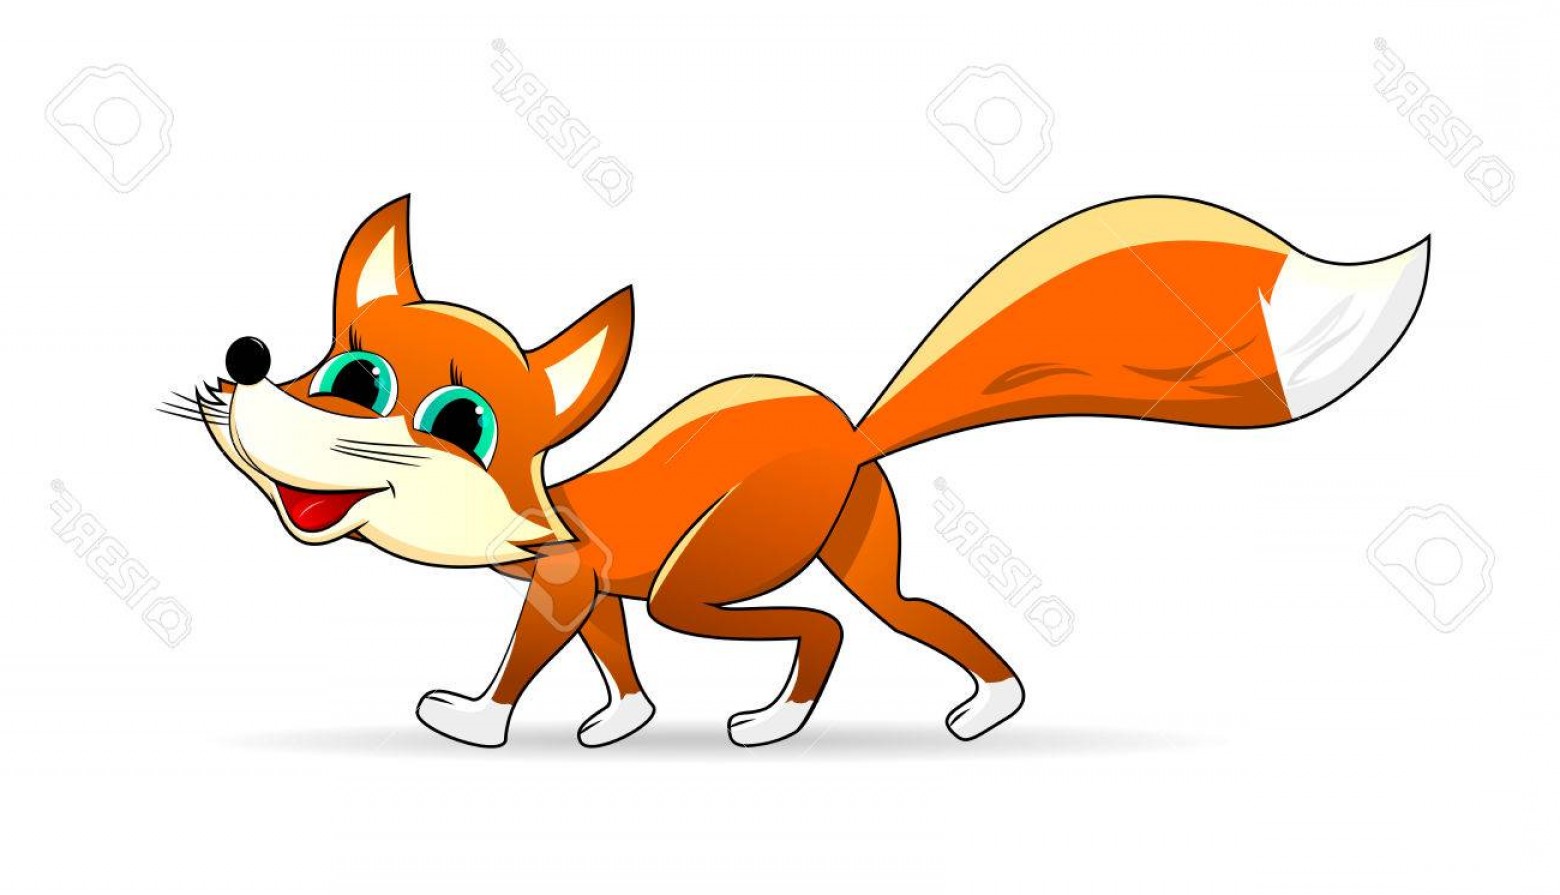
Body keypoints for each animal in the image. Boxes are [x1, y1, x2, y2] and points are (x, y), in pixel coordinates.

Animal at [169, 195, 1429, 748]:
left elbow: (527, 660)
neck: (539, 509)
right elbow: (615, 664)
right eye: (341, 366)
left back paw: (799, 719)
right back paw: (982, 700)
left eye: (452, 418)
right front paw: (622, 722)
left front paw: (477, 722)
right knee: (904, 613)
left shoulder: (573, 580)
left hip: (708, 578)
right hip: (855, 549)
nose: (246, 365)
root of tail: (851, 432)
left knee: (828, 628)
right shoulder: (596, 588)